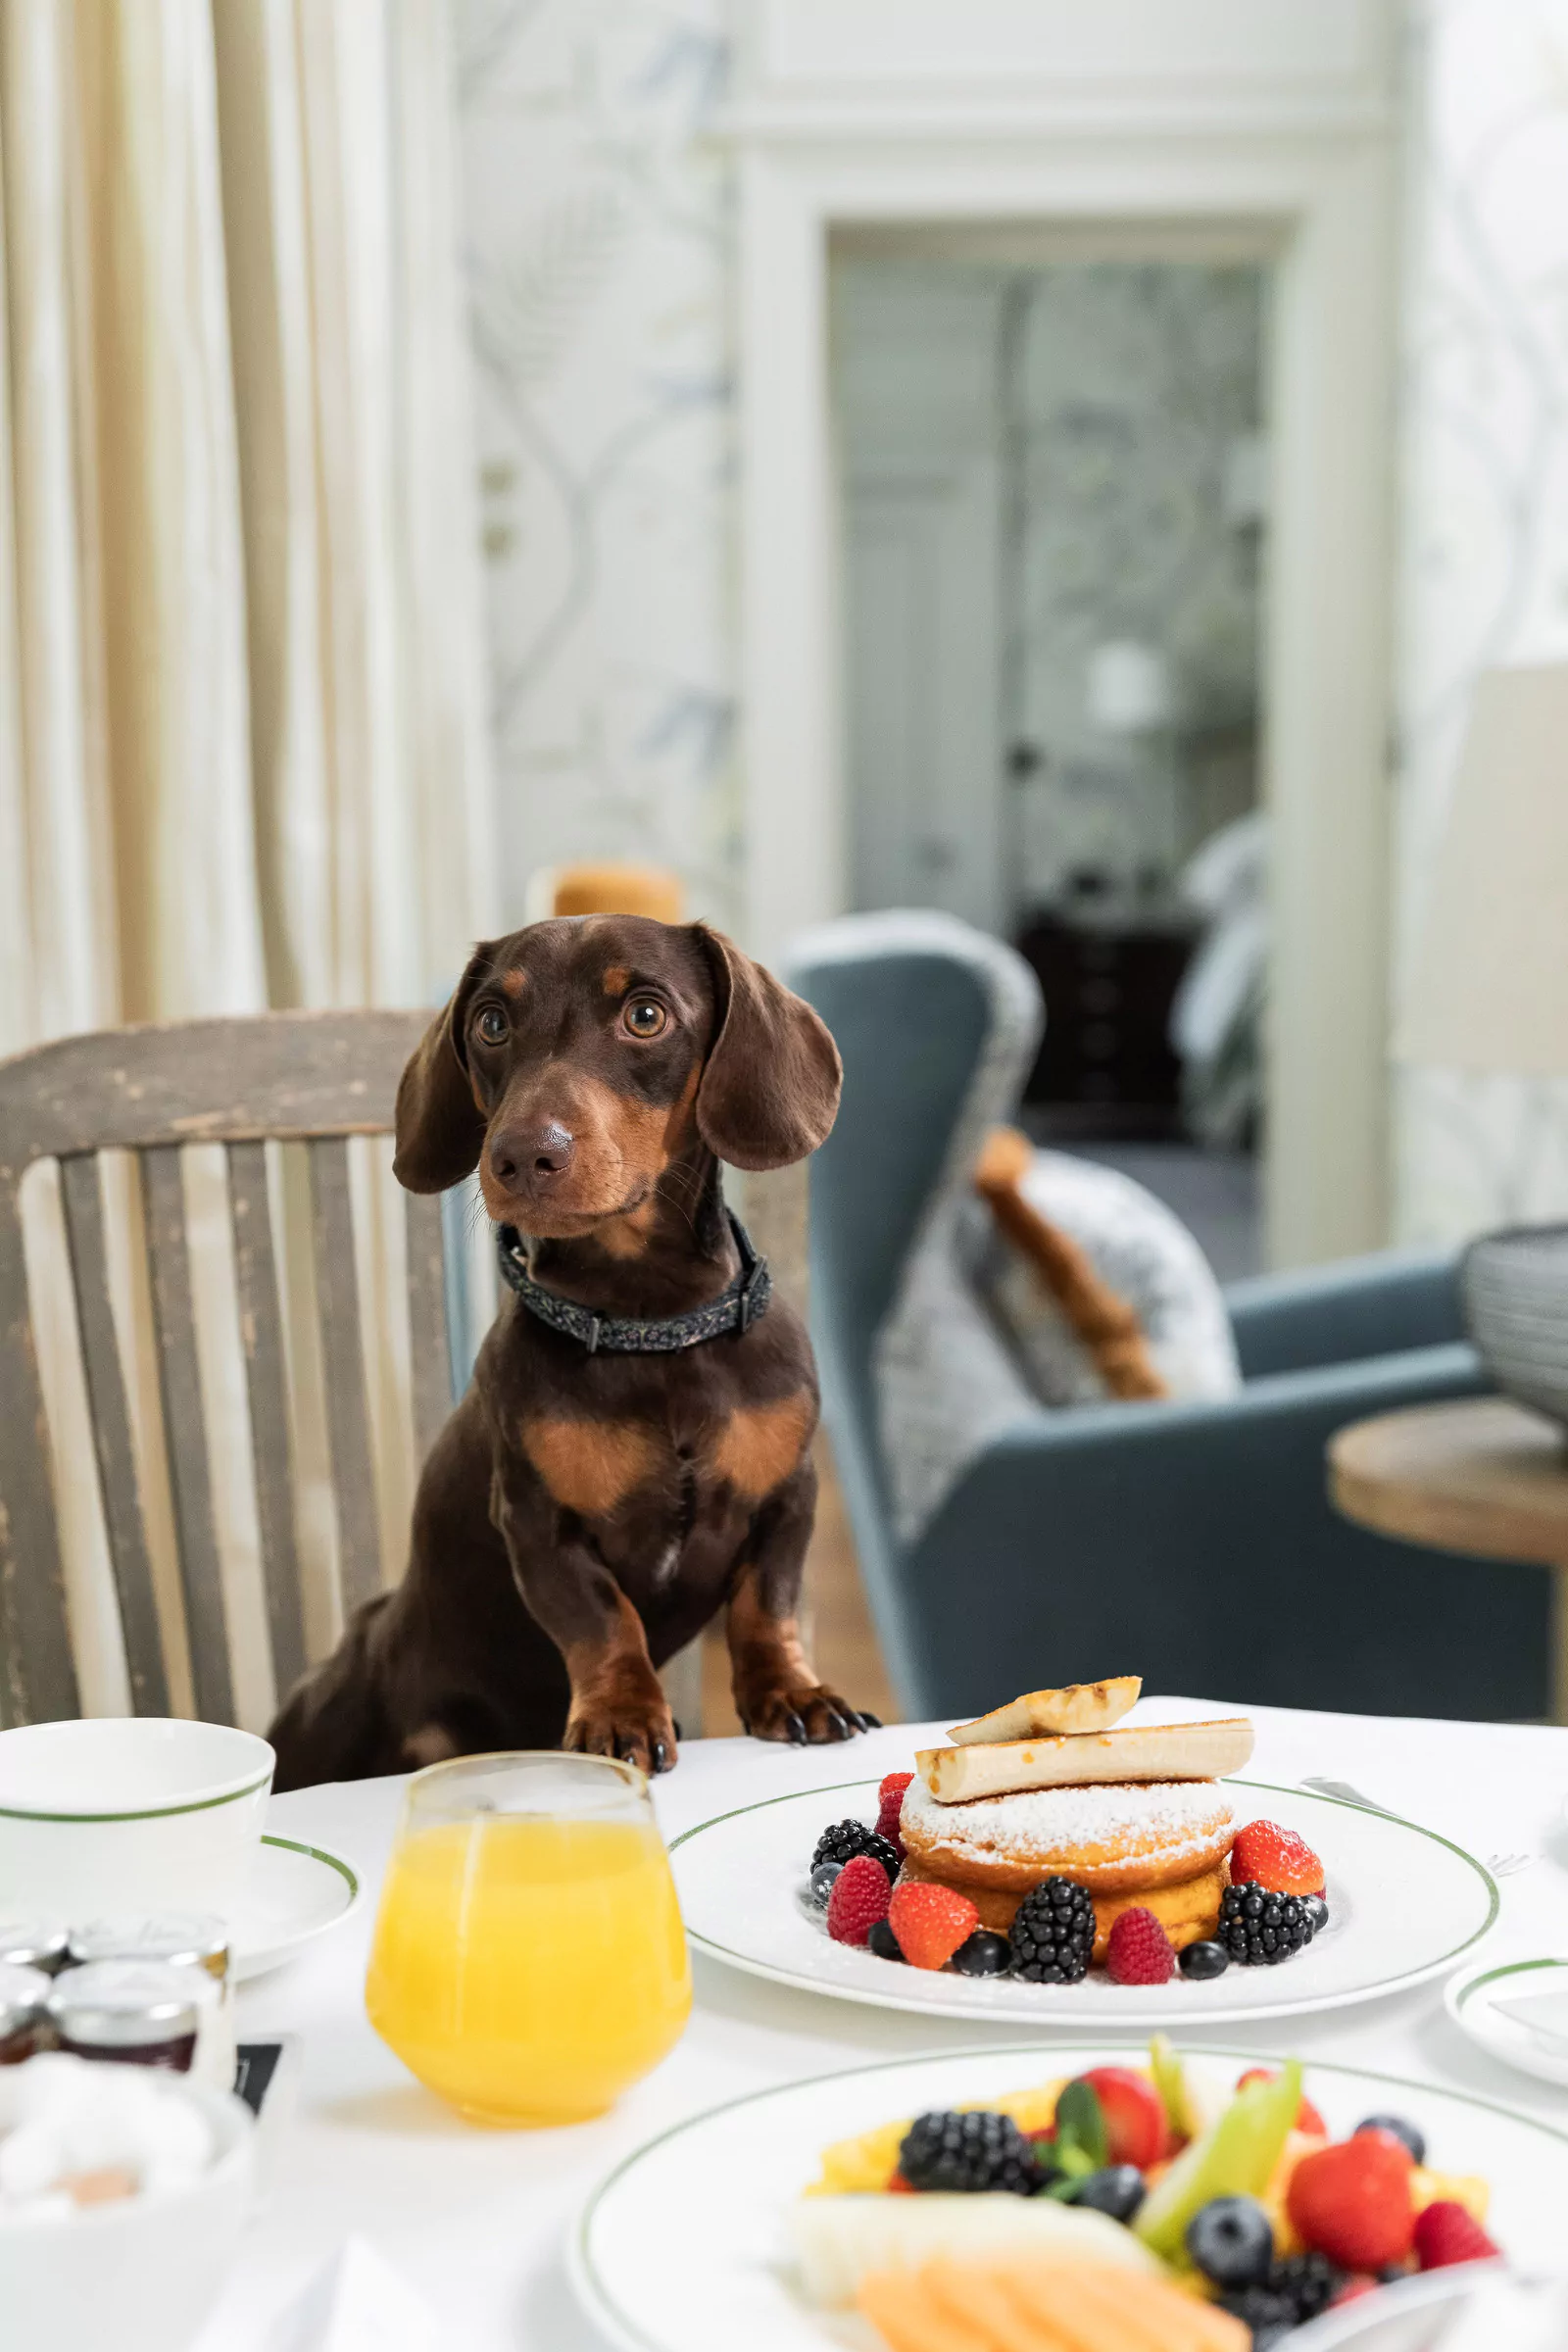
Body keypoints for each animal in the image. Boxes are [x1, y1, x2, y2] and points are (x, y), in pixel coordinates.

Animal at [272, 912, 883, 1778]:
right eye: (492, 1023)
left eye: (646, 1015)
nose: (522, 1157)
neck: (653, 1330)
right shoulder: (539, 1524)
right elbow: (604, 1622)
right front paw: (622, 1713)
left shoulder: (788, 1497)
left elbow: (768, 1604)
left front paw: (790, 1692)